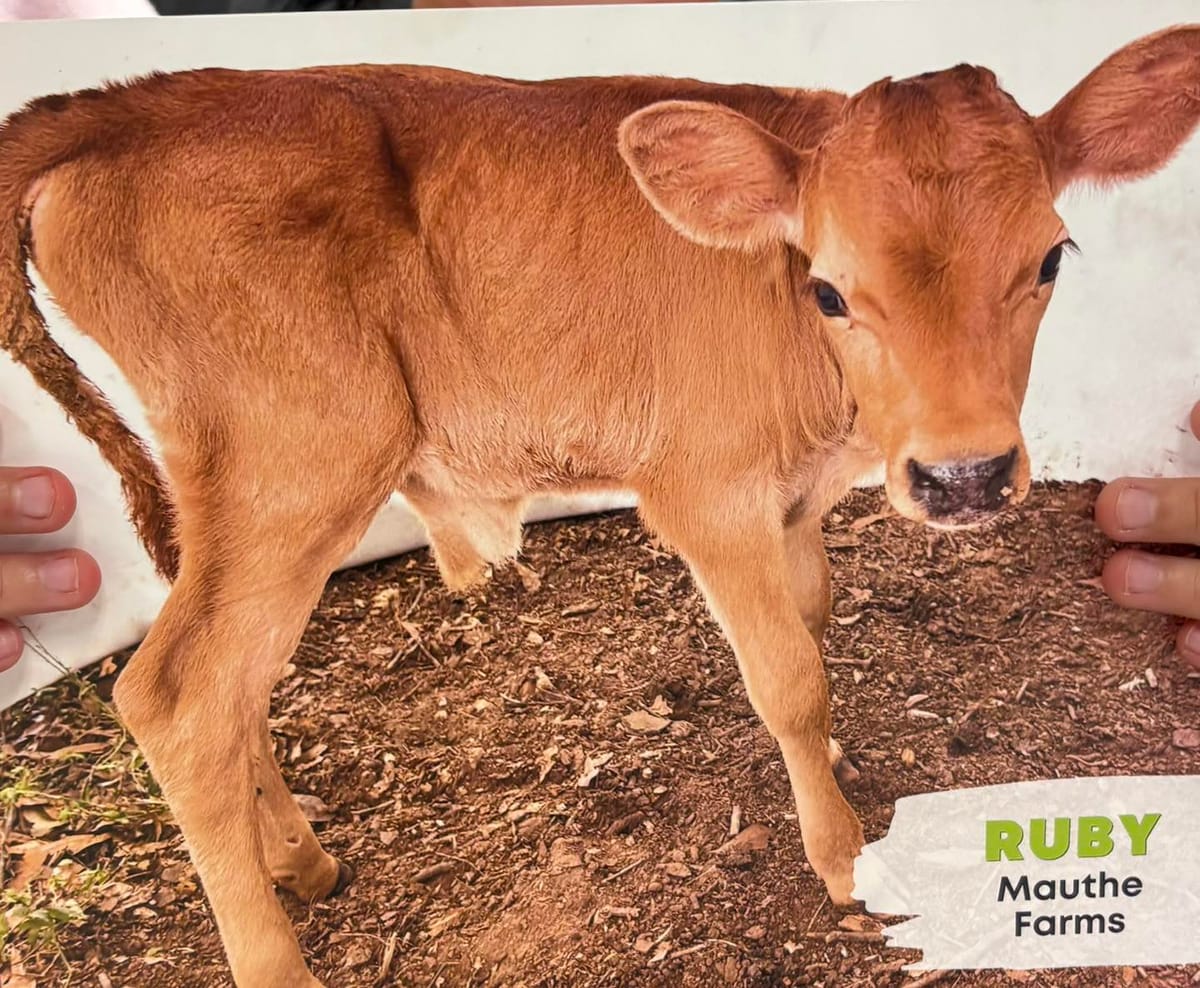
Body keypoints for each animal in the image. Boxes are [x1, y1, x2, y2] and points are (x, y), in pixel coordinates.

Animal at [1, 24, 1197, 988]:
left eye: (1050, 258)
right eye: (828, 287)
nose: (963, 478)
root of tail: (137, 101)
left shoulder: (794, 502)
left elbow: (813, 625)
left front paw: (843, 772)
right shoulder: (707, 494)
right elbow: (790, 678)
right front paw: (843, 856)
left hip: (240, 496)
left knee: (231, 679)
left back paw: (301, 859)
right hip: (296, 464)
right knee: (179, 696)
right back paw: (276, 957)